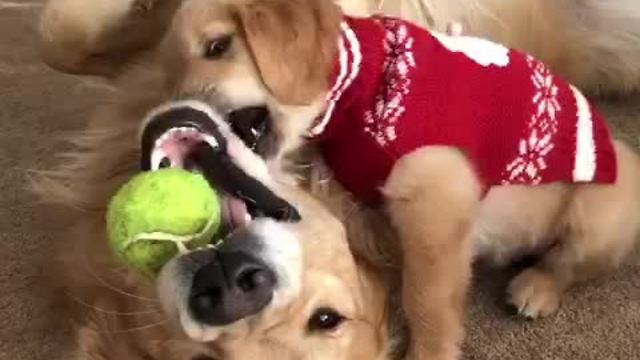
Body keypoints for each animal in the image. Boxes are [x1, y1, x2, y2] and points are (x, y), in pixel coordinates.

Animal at [119, 0, 640, 360]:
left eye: (218, 46)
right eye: (171, 81)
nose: (170, 116)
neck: (361, 84)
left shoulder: (434, 199)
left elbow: (426, 300)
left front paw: (428, 352)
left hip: (600, 215)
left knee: (569, 263)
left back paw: (537, 286)